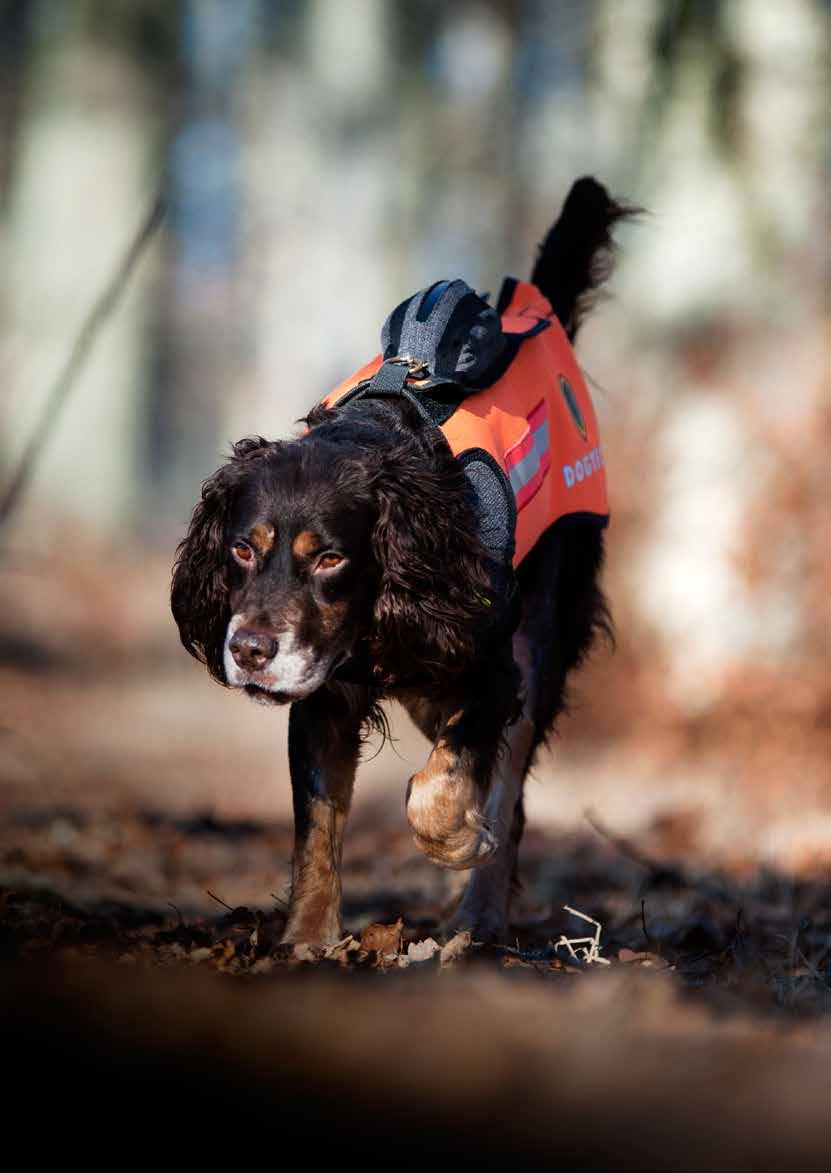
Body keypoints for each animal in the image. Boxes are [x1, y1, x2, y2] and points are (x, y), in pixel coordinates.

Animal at [172, 175, 633, 943]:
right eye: (241, 548)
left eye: (329, 558)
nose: (251, 650)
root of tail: (533, 308)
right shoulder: (326, 691)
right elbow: (317, 826)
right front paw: (306, 942)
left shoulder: (490, 664)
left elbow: (441, 793)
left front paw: (460, 839)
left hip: (544, 622)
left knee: (509, 784)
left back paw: (478, 917)